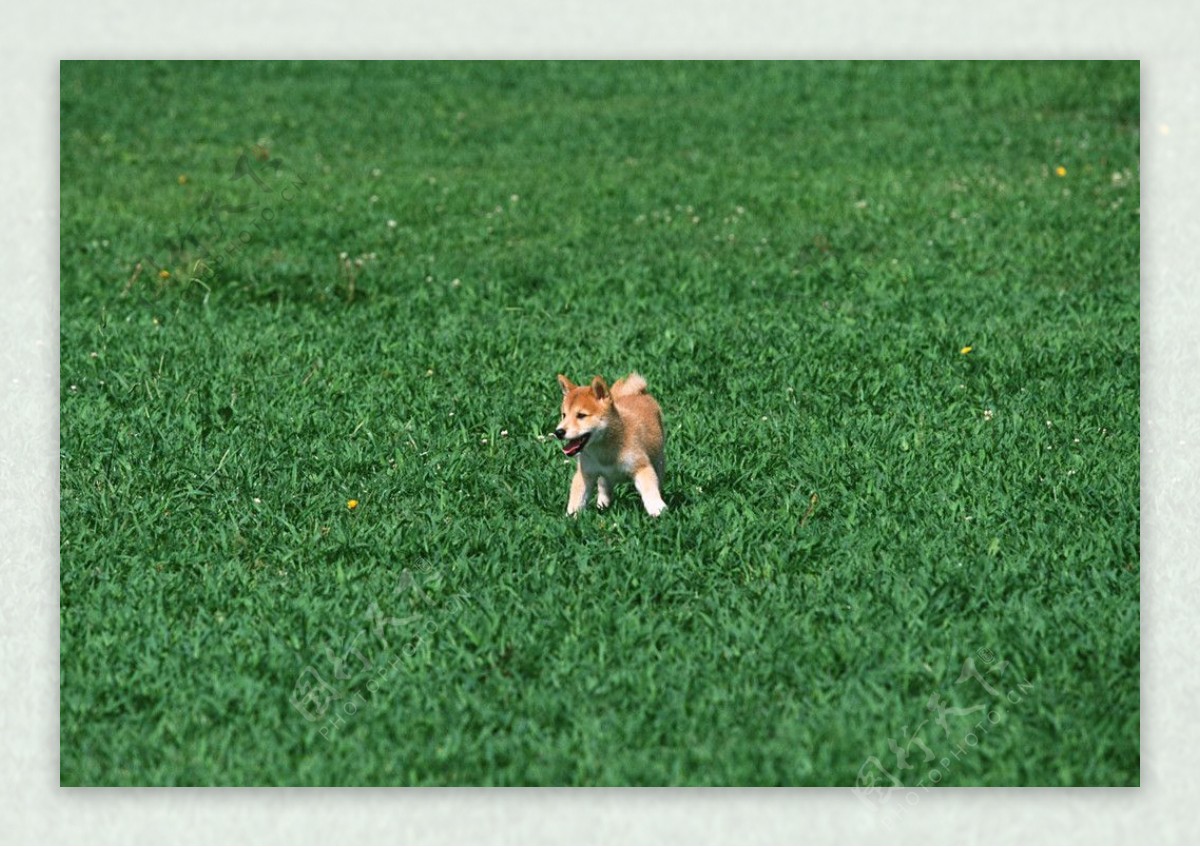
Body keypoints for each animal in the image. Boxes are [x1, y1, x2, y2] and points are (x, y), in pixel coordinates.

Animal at [552, 371, 667, 513]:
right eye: (564, 415)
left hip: (658, 462)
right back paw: (602, 506)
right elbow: (576, 500)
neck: (605, 450)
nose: (558, 432)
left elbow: (649, 491)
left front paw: (658, 510)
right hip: (604, 477)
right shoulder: (585, 474)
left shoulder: (641, 467)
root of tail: (636, 393)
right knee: (604, 489)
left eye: (581, 415)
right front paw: (571, 517)